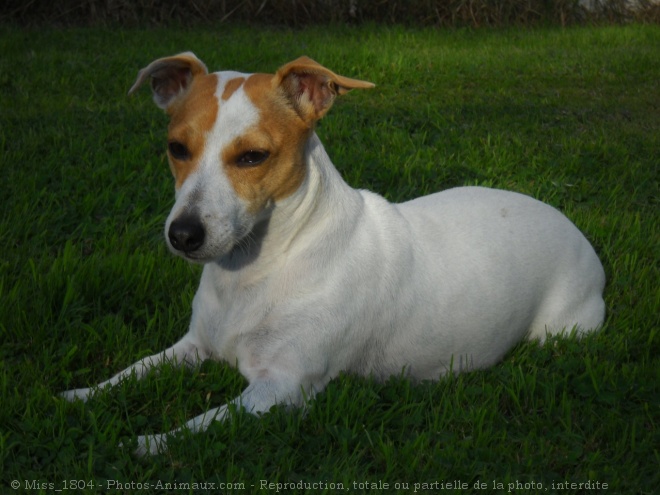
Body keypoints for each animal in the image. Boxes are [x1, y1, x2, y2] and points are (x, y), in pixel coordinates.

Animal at [62, 52, 604, 456]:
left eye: (253, 157)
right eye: (176, 148)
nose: (183, 234)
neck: (259, 268)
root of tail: (575, 229)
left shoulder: (281, 389)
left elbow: (202, 423)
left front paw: (147, 441)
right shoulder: (194, 346)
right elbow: (134, 370)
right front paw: (78, 396)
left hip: (558, 333)